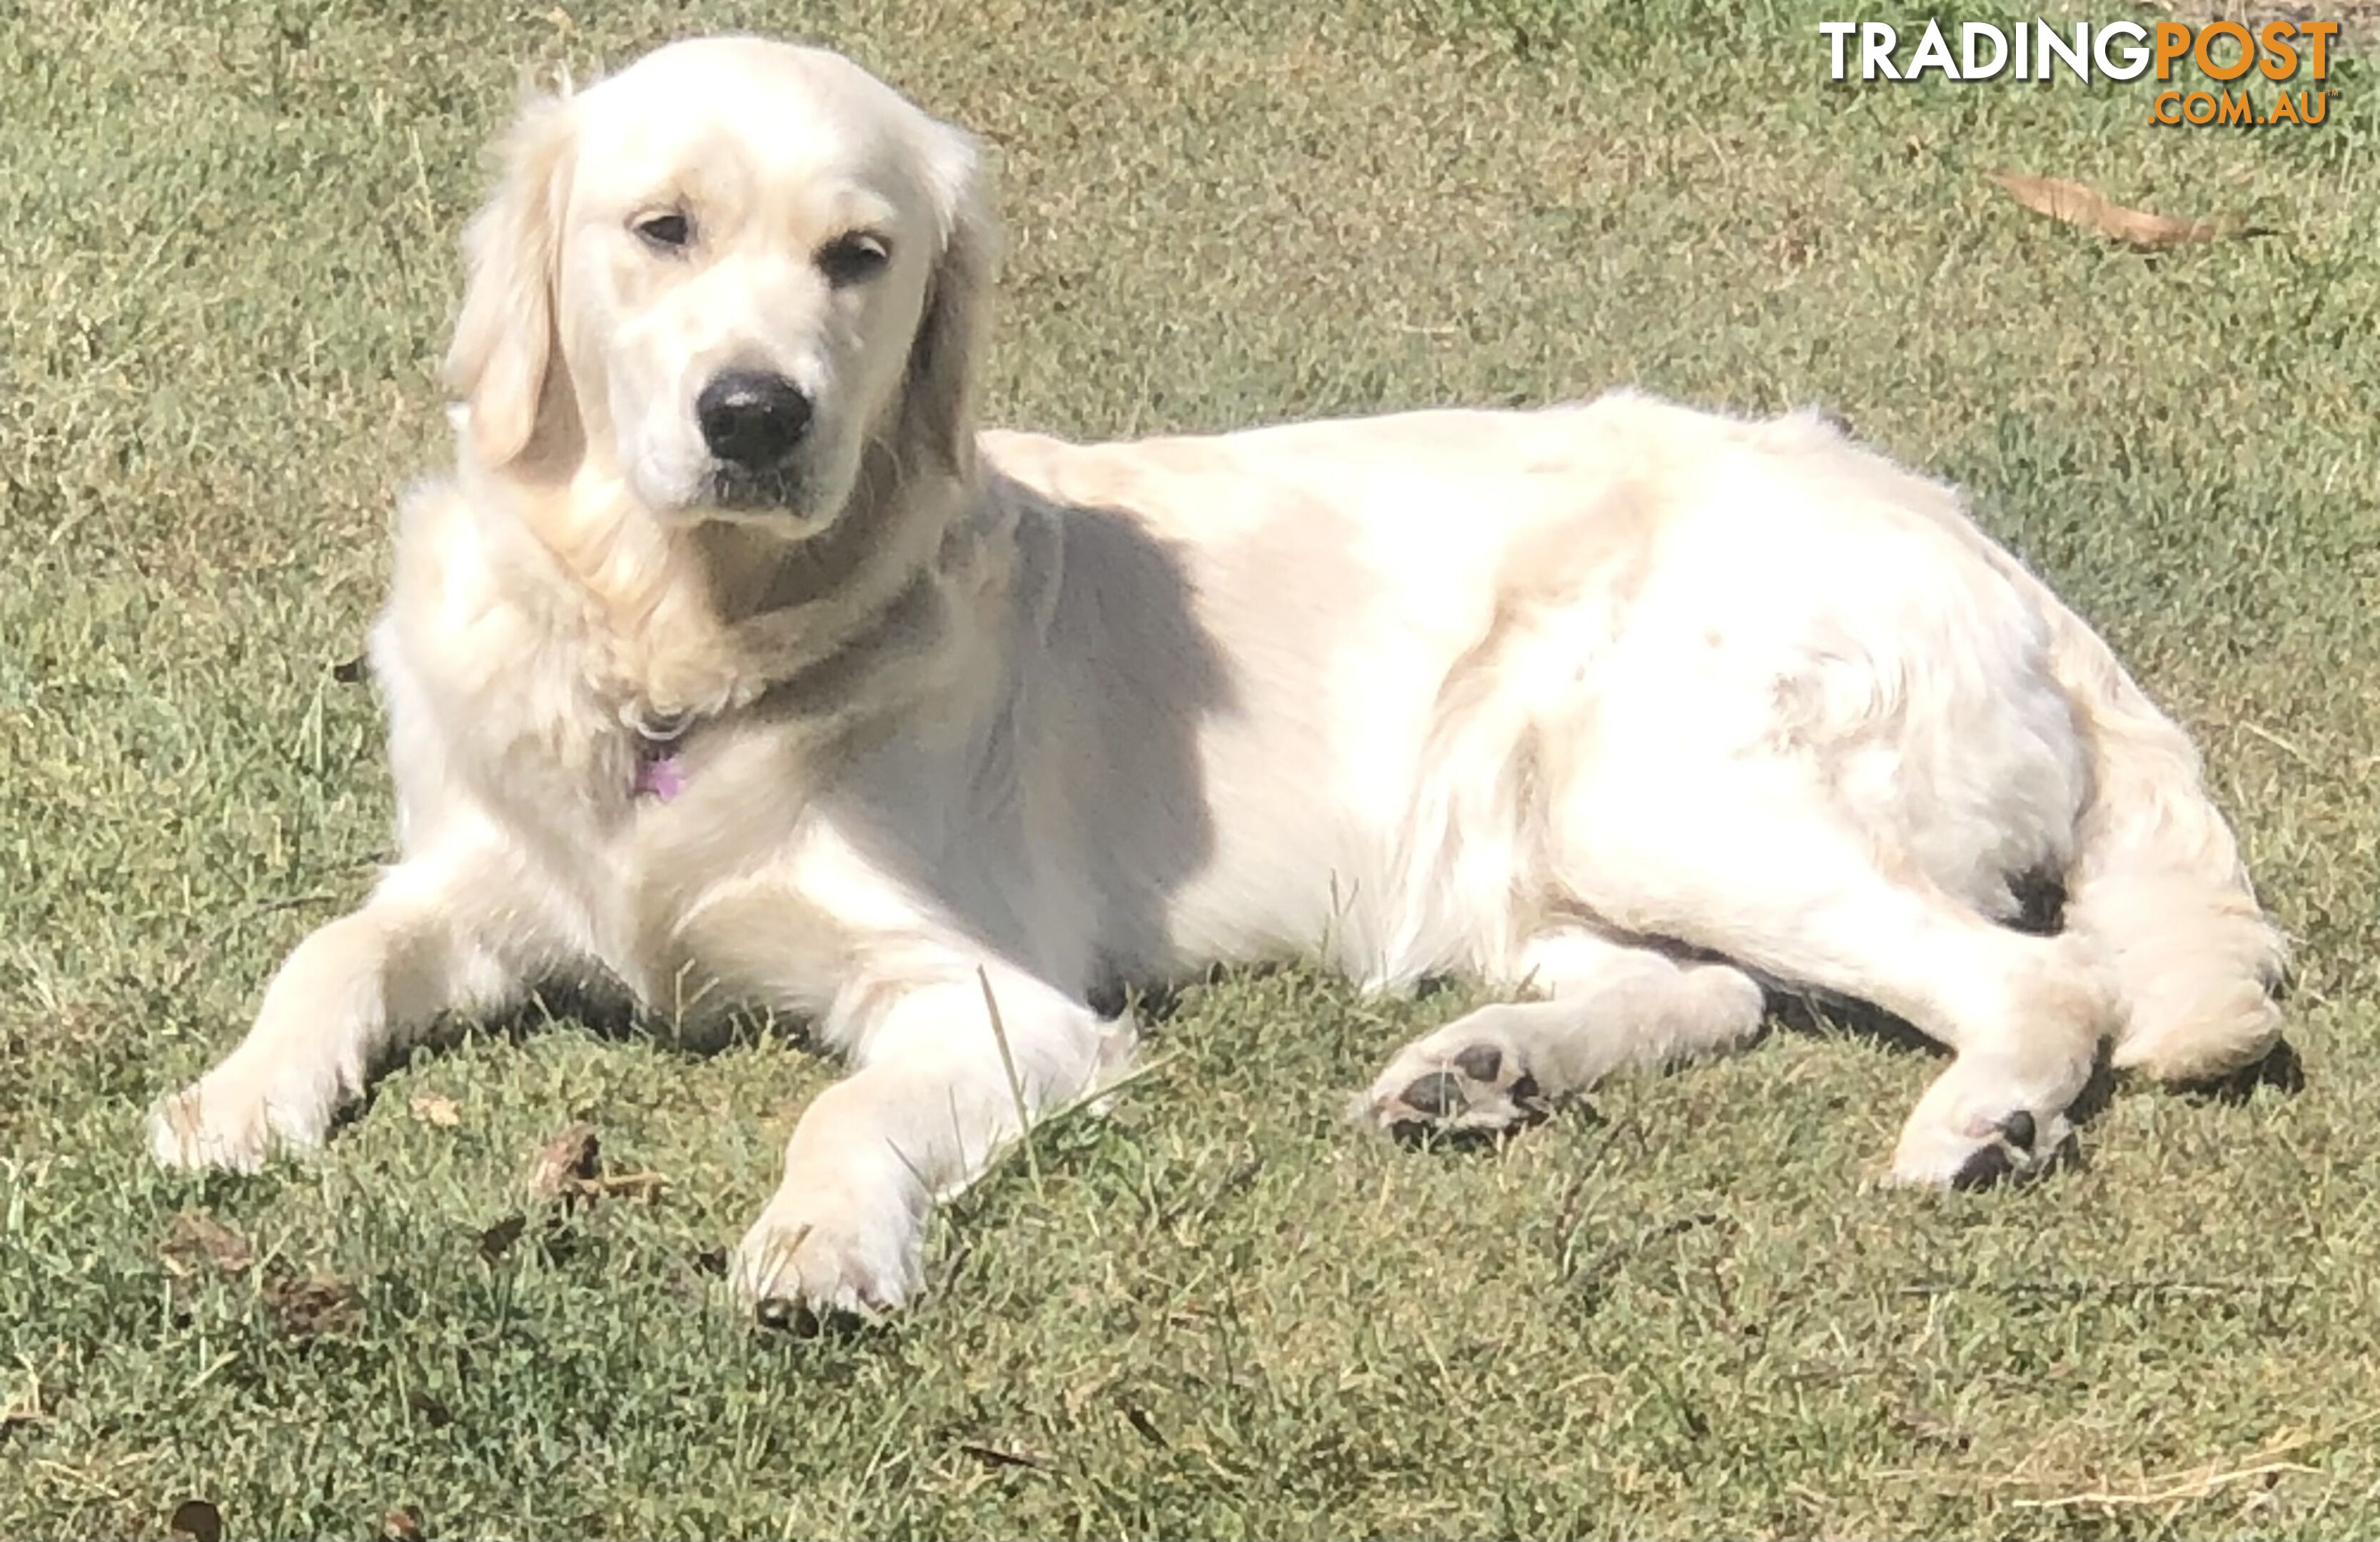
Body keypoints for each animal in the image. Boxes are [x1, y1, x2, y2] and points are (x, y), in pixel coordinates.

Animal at [143, 33, 2284, 1314]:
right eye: (655, 229)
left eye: (859, 256)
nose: (755, 415)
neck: (680, 648)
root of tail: (1971, 533)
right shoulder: (484, 875)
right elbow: (330, 949)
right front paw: (231, 1102)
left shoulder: (993, 999)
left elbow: (845, 1110)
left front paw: (820, 1240)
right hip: (1545, 833)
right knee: (1713, 996)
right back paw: (1476, 1072)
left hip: (1648, 778)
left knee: (2040, 979)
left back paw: (1977, 1123)